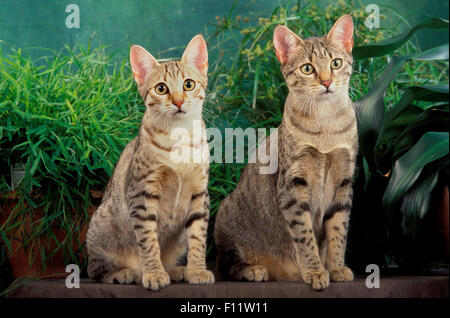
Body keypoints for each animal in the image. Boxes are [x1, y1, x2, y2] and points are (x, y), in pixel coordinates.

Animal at [88, 34, 216, 290]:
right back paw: (128, 273)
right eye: (161, 88)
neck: (180, 136)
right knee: (94, 270)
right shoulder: (142, 193)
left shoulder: (200, 192)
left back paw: (177, 270)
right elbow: (148, 240)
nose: (178, 102)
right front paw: (154, 273)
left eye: (188, 84)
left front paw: (197, 270)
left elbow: (198, 236)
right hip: (102, 226)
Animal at [214, 15, 358, 290]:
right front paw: (314, 271)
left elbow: (339, 232)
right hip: (226, 217)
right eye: (307, 69)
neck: (325, 125)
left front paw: (335, 267)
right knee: (224, 265)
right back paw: (255, 270)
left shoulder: (343, 182)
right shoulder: (293, 185)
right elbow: (305, 236)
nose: (326, 82)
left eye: (335, 63)